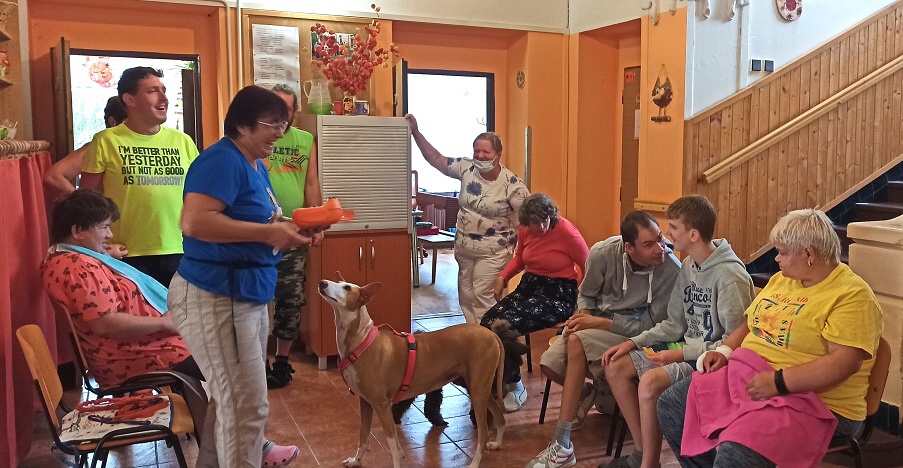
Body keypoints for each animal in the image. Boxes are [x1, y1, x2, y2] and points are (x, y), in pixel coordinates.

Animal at [319, 274, 506, 468]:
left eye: (347, 288)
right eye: (338, 283)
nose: (322, 283)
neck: (361, 340)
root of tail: (491, 334)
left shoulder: (381, 405)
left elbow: (393, 449)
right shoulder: (365, 403)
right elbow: (364, 437)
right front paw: (356, 461)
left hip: (477, 391)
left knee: (483, 434)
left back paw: (475, 462)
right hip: (478, 389)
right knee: (500, 418)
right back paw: (497, 443)